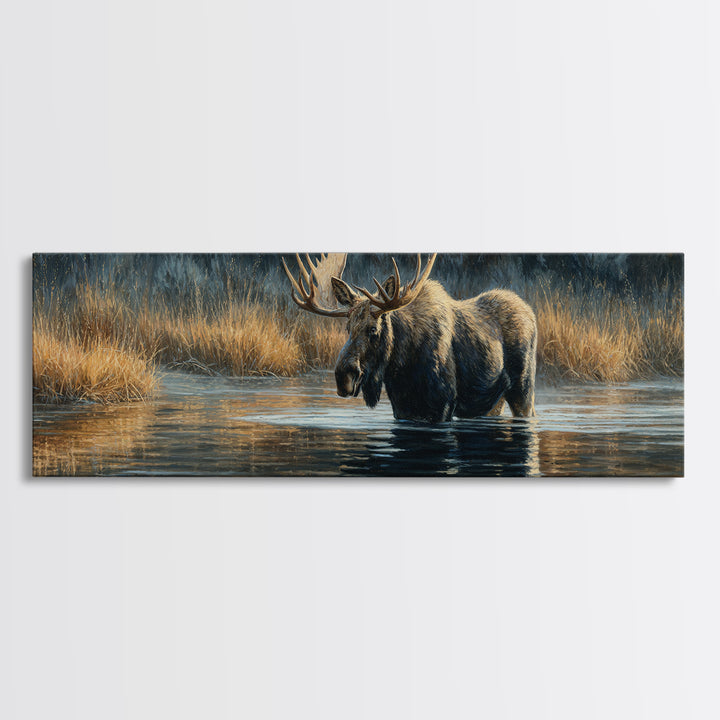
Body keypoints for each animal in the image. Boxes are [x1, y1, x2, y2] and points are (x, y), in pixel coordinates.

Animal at [282, 253, 537, 423]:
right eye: (347, 327)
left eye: (373, 329)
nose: (343, 377)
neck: (401, 366)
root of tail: (530, 311)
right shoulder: (402, 408)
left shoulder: (444, 404)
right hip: (491, 401)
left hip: (523, 388)